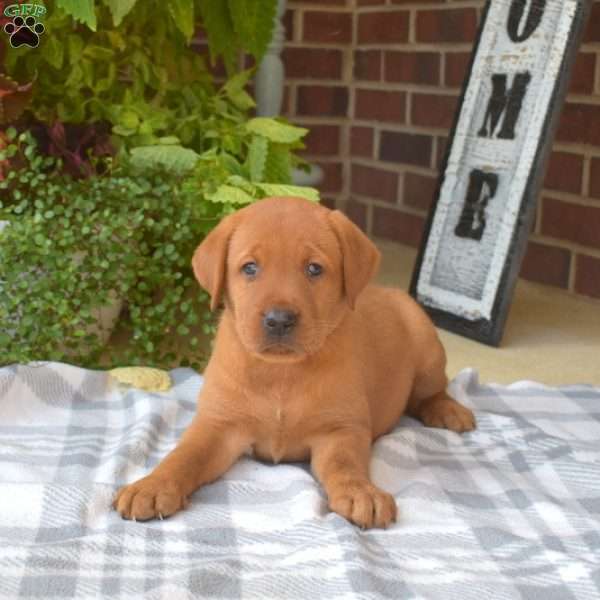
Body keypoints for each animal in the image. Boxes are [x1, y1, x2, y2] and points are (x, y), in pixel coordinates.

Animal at [115, 195, 476, 528]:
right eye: (250, 268)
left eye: (314, 269)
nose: (278, 320)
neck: (280, 373)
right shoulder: (217, 423)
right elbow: (184, 455)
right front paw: (152, 485)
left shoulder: (341, 428)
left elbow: (345, 463)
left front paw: (360, 492)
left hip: (426, 341)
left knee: (431, 392)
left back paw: (449, 410)